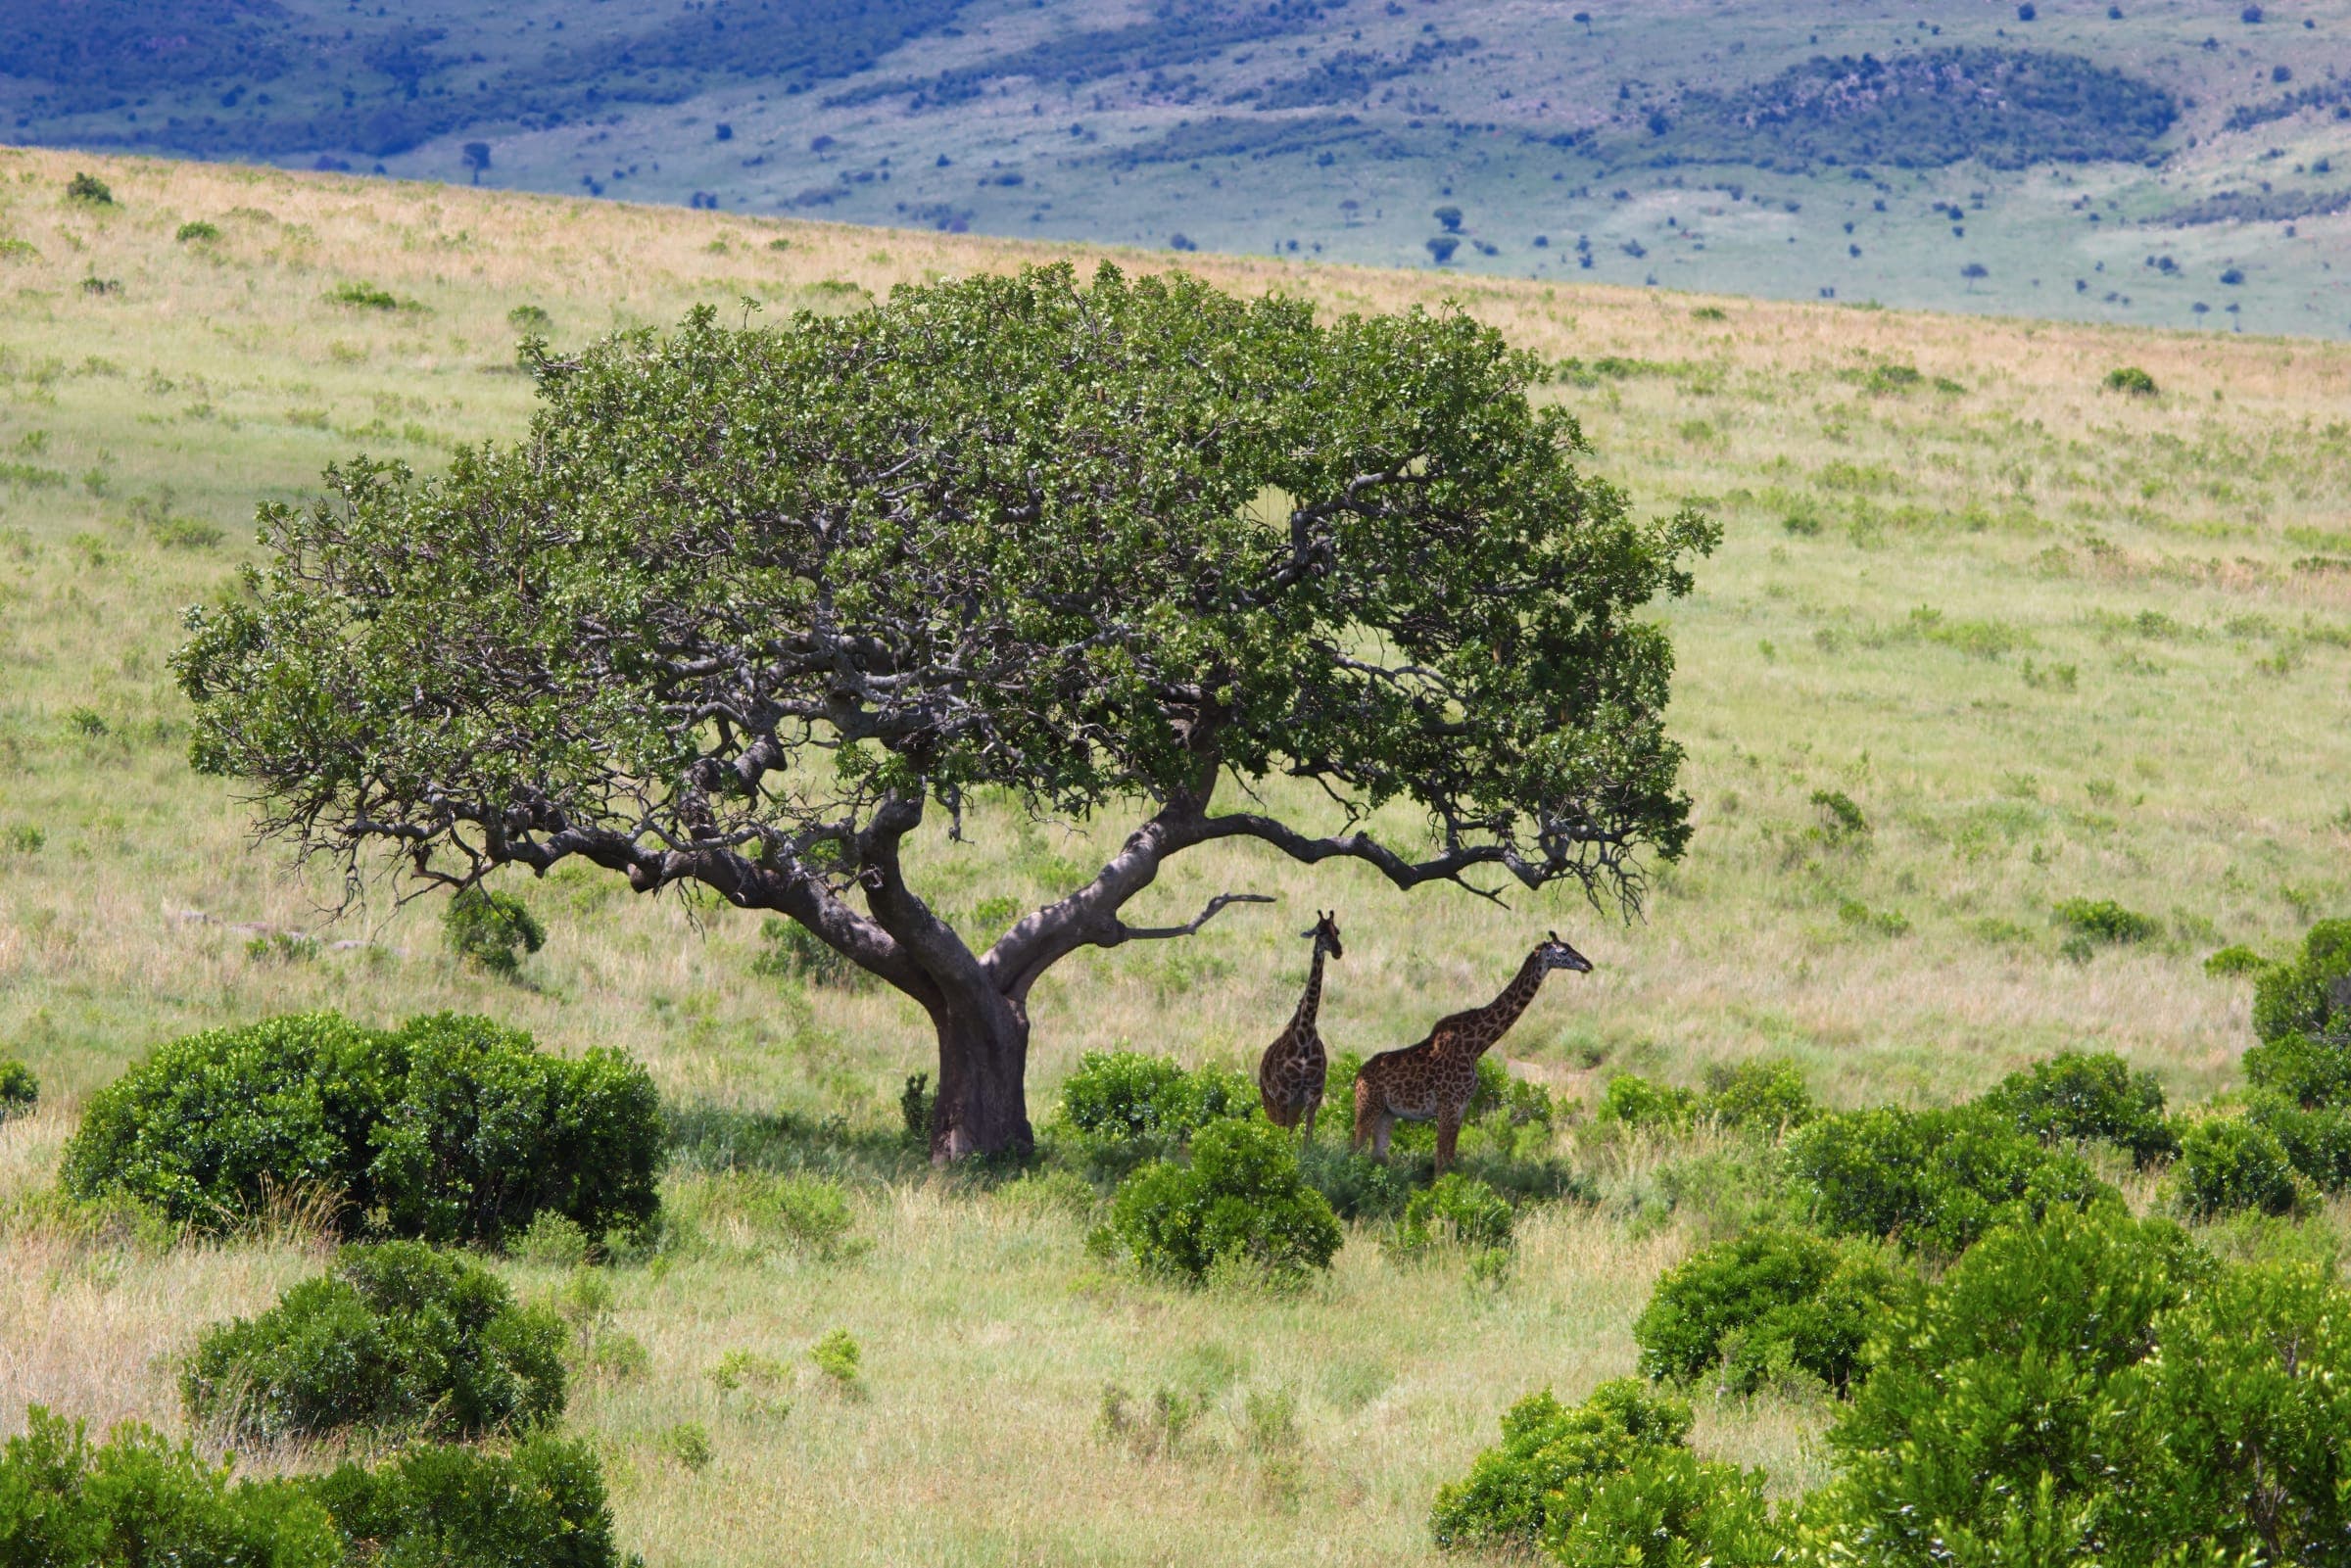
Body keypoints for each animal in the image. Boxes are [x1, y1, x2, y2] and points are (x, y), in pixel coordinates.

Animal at [1259, 911, 1343, 1143]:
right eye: (1319, 932)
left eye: (1337, 931)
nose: (1338, 951)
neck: (1304, 1034)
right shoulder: (1284, 1095)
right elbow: (1286, 1138)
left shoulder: (1314, 1094)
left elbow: (1307, 1138)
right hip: (1270, 1101)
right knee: (1277, 1127)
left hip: (1294, 1105)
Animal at [1354, 932, 1592, 1174]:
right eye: (1564, 951)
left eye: (1572, 946)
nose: (1588, 965)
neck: (1476, 1047)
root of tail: (1357, 1078)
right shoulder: (1449, 1106)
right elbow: (1441, 1164)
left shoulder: (1461, 1107)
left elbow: (1449, 1160)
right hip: (1367, 1107)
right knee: (1354, 1150)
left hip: (1387, 1113)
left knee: (1378, 1157)